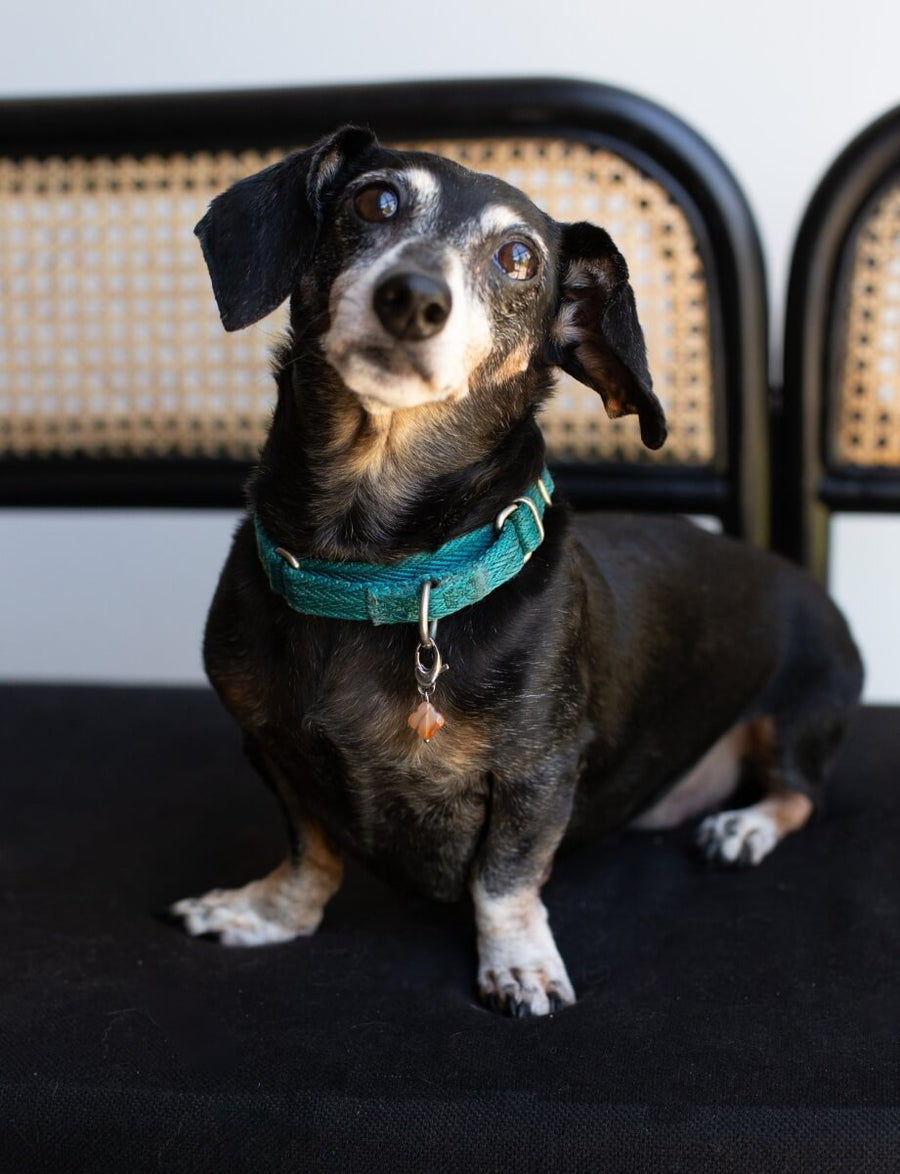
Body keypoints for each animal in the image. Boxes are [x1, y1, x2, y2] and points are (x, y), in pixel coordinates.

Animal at [168, 123, 863, 1014]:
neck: (375, 571)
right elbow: (312, 851)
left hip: (806, 707)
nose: (413, 297)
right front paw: (268, 913)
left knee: (800, 792)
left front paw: (519, 964)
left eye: (519, 257)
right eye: (375, 201)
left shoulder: (539, 770)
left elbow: (505, 876)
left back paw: (745, 825)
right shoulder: (272, 749)